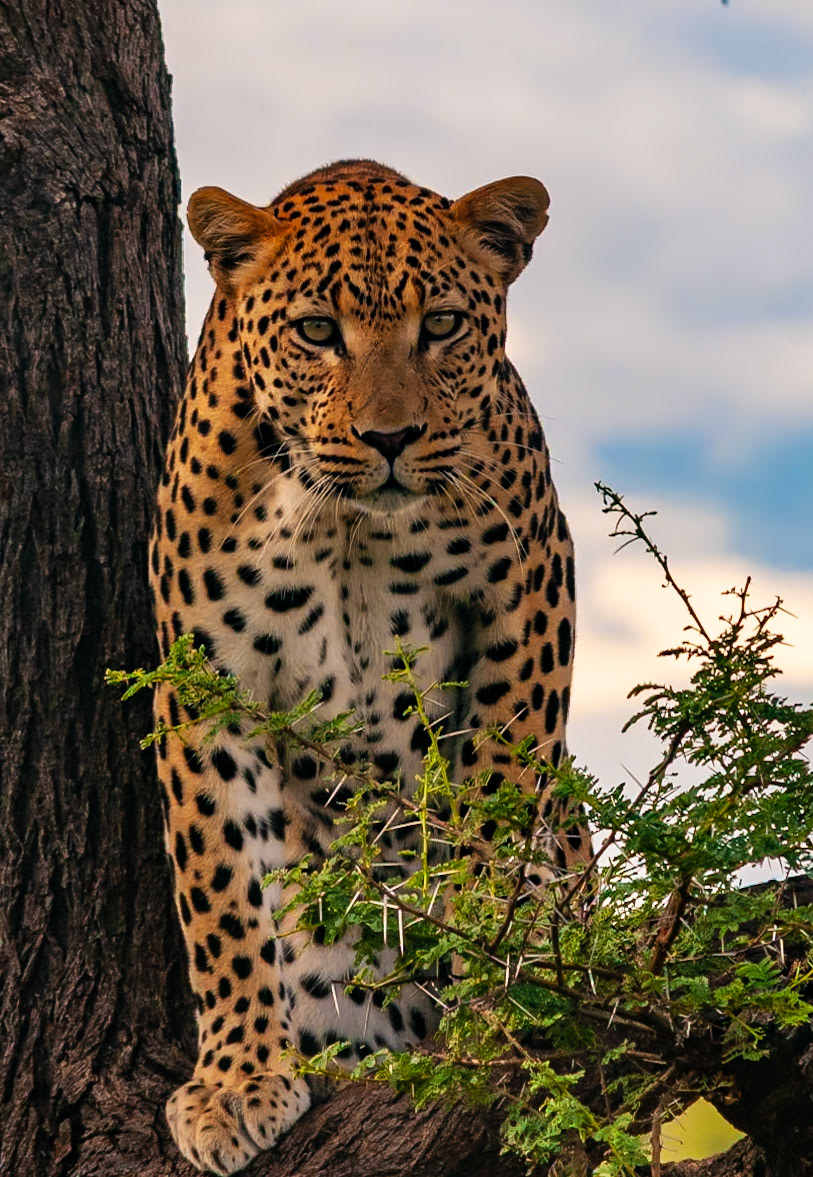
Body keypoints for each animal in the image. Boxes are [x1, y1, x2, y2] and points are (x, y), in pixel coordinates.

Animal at [149, 158, 589, 1175]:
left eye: (443, 325)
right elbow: (220, 889)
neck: (344, 518)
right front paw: (235, 1080)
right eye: (317, 330)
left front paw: (495, 1002)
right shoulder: (202, 680)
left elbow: (497, 820)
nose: (390, 438)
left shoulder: (528, 598)